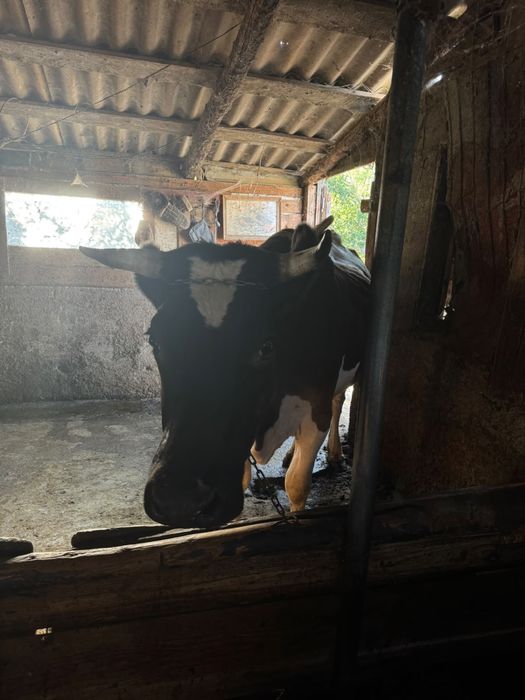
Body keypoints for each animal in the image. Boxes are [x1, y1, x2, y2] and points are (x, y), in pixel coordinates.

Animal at [80, 217, 370, 529]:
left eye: (266, 346)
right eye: (154, 340)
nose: (179, 499)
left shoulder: (315, 408)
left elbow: (296, 483)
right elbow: (242, 480)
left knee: (338, 400)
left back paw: (335, 454)